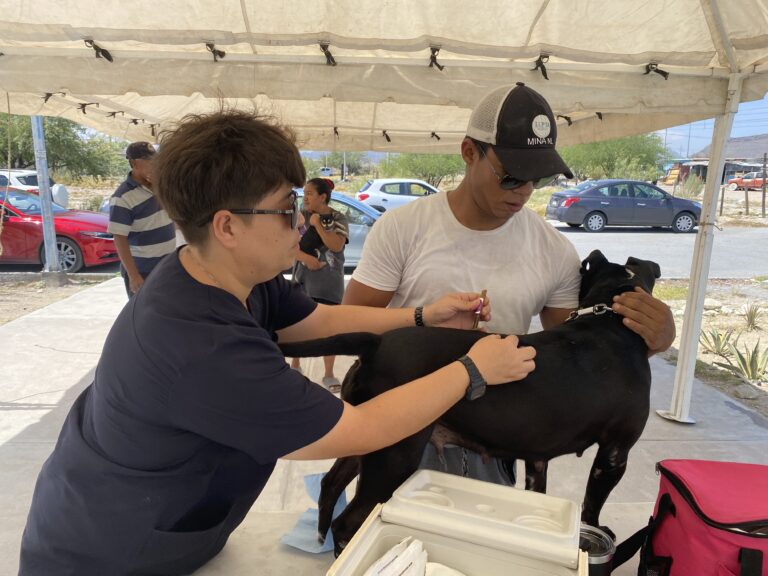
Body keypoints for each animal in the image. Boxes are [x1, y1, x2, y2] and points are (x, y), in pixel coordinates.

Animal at [280, 251, 664, 552]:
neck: (608, 317)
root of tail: (375, 343)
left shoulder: (537, 460)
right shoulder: (614, 453)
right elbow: (592, 505)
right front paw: (593, 534)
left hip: (366, 436)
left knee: (330, 485)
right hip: (394, 455)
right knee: (349, 522)